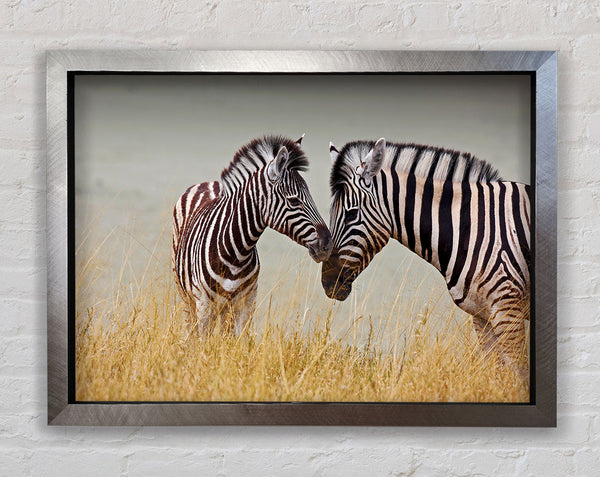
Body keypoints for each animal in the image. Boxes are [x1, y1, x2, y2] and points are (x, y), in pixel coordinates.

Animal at [172, 134, 332, 334]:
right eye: (294, 201)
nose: (328, 244)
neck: (236, 253)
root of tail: (208, 183)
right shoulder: (204, 304)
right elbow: (204, 340)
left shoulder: (247, 303)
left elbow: (237, 340)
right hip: (187, 297)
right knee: (190, 328)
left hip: (225, 308)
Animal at [322, 138, 532, 376]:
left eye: (351, 214)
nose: (327, 283)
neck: (469, 227)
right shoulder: (481, 314)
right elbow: (496, 373)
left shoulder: (507, 309)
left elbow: (517, 374)